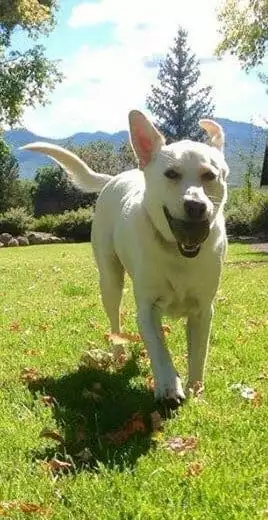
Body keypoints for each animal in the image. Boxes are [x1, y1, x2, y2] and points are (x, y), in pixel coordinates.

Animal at [22, 110, 228, 410]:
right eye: (171, 174)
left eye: (209, 175)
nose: (196, 205)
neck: (177, 252)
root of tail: (117, 177)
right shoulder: (147, 309)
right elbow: (160, 350)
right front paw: (169, 386)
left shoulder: (203, 310)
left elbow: (198, 354)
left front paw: (195, 389)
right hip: (110, 281)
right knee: (115, 320)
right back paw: (118, 351)